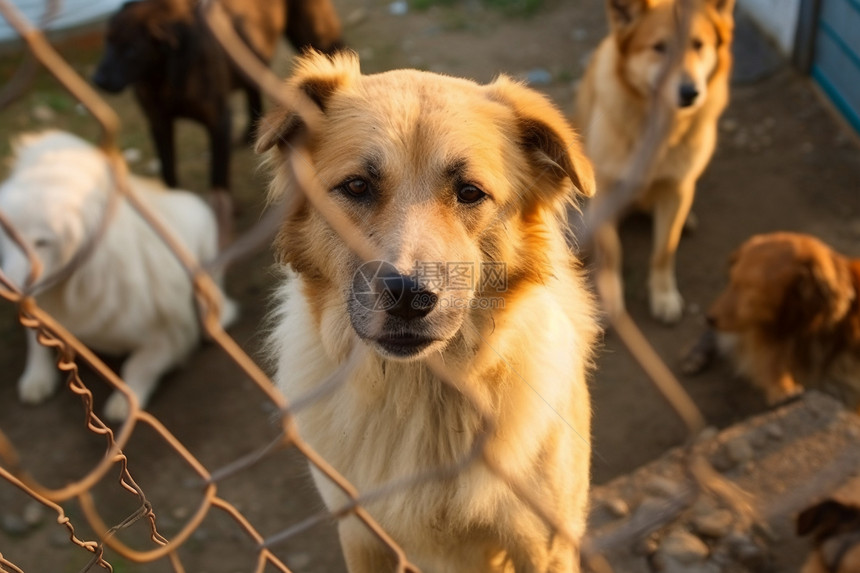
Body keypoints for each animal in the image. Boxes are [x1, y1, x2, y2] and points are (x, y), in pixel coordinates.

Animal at [0, 132, 237, 422]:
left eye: (42, 242)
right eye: (7, 234)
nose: (9, 289)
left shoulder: (172, 335)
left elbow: (137, 366)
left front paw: (125, 404)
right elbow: (36, 342)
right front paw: (36, 378)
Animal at [93, 0, 342, 238]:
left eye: (131, 49)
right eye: (107, 42)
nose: (97, 80)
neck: (165, 74)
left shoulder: (218, 122)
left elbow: (217, 179)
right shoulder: (159, 124)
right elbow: (168, 173)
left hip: (316, 34)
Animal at [258, 51, 600, 568]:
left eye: (470, 192)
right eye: (356, 186)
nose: (407, 295)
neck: (420, 390)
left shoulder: (545, 545)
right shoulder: (361, 536)